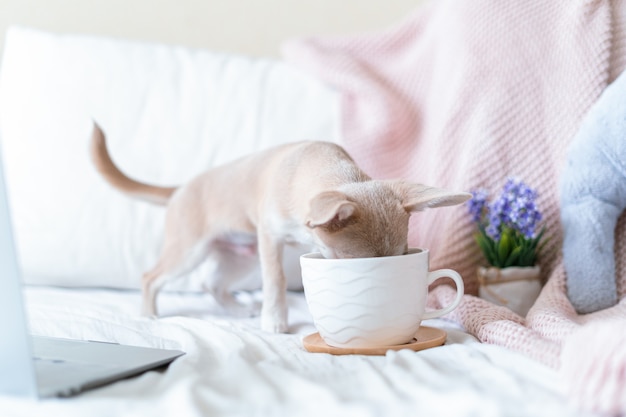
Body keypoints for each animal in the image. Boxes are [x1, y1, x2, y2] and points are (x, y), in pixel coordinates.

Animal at [88, 123, 468, 332]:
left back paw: (236, 309)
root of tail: (181, 188)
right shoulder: (269, 238)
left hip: (240, 255)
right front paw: (274, 319)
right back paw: (149, 314)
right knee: (151, 277)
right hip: (190, 251)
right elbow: (276, 280)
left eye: (402, 256)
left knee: (210, 283)